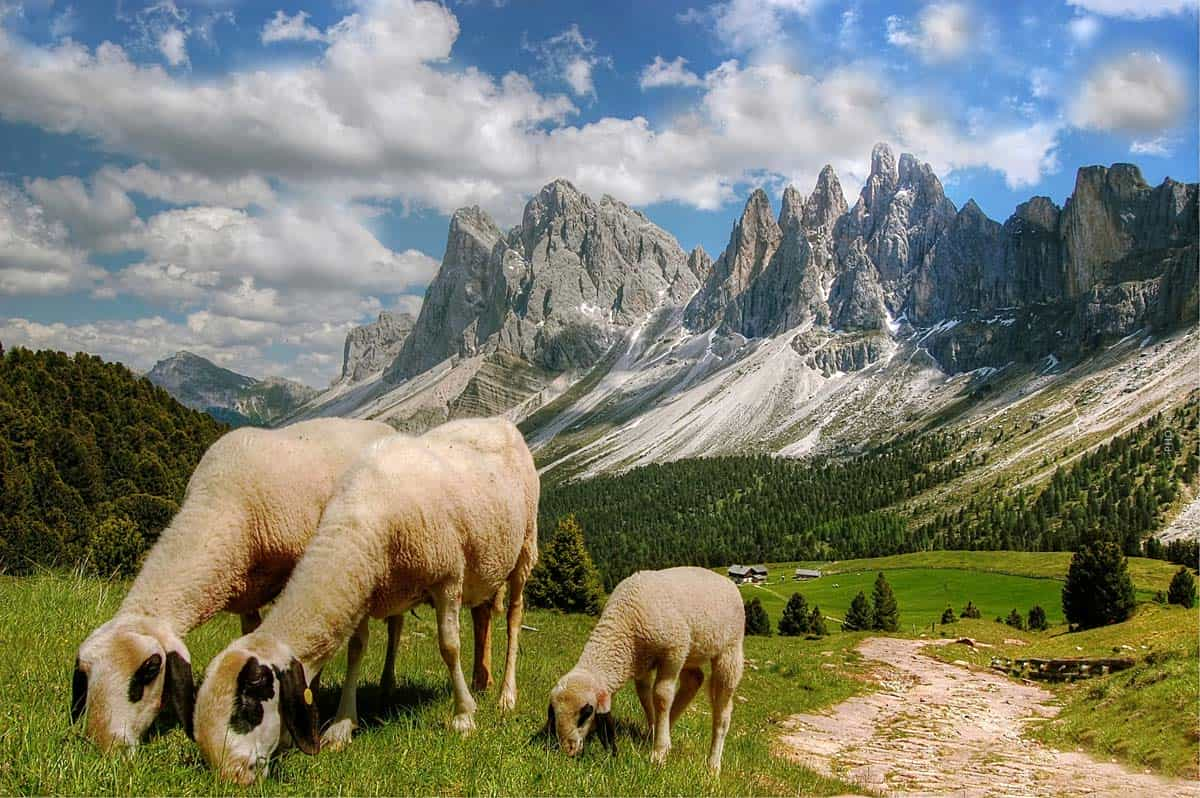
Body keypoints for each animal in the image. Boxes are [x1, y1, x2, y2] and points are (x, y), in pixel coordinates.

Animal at [69, 417, 398, 753]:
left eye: (149, 669)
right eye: (85, 673)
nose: (106, 744)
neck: (221, 502)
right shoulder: (246, 589)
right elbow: (255, 636)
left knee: (386, 632)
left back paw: (379, 692)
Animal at [192, 417, 540, 782]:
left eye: (249, 706)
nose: (232, 777)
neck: (360, 521)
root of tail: (496, 420)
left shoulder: (447, 577)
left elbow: (448, 647)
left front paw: (463, 716)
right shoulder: (365, 588)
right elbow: (356, 650)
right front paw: (342, 726)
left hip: (525, 547)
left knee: (514, 619)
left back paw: (505, 695)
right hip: (484, 564)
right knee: (483, 614)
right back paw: (482, 682)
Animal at [549, 564, 744, 768]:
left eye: (587, 713)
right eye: (553, 713)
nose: (568, 750)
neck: (625, 621)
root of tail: (726, 580)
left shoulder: (674, 651)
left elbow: (661, 696)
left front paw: (659, 752)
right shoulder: (641, 661)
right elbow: (644, 693)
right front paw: (653, 732)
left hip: (730, 650)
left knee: (723, 713)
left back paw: (713, 765)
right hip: (693, 651)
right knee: (694, 680)